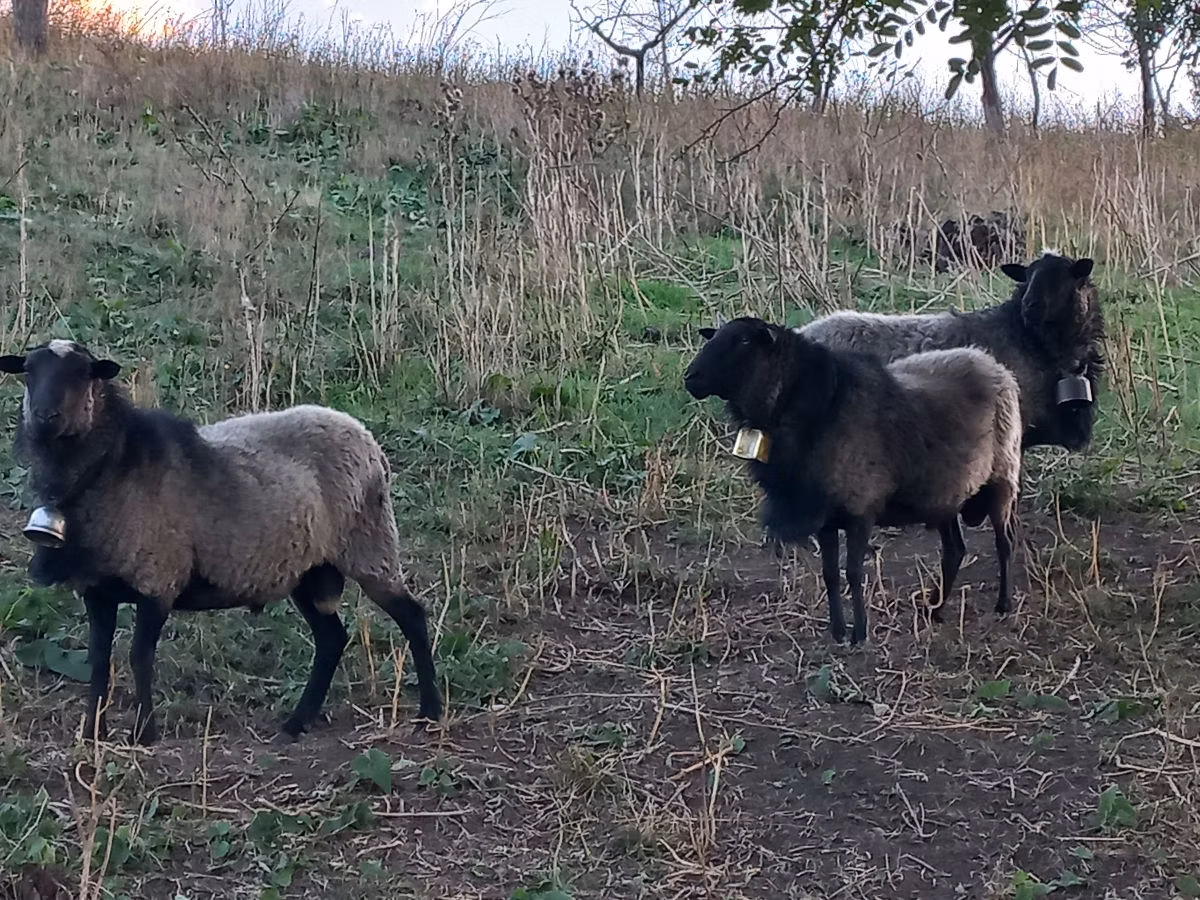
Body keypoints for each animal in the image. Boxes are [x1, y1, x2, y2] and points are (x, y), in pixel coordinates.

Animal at [0, 339, 443, 745]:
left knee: (411, 617)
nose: (45, 417)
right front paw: (93, 733)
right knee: (332, 638)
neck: (113, 465)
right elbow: (99, 659)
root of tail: (363, 433)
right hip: (310, 570)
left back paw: (430, 712)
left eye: (83, 374)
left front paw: (145, 734)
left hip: (369, 545)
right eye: (29, 372)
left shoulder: (159, 579)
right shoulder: (97, 590)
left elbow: (139, 657)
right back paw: (296, 723)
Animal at [683, 317, 1022, 645]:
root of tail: (992, 363)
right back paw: (934, 610)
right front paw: (838, 632)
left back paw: (1003, 604)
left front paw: (860, 634)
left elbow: (854, 572)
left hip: (1002, 477)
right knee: (954, 551)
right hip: (946, 495)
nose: (690, 376)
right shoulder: (825, 518)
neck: (818, 406)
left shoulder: (860, 510)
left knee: (1004, 542)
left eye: (743, 340)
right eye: (714, 336)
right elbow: (830, 573)